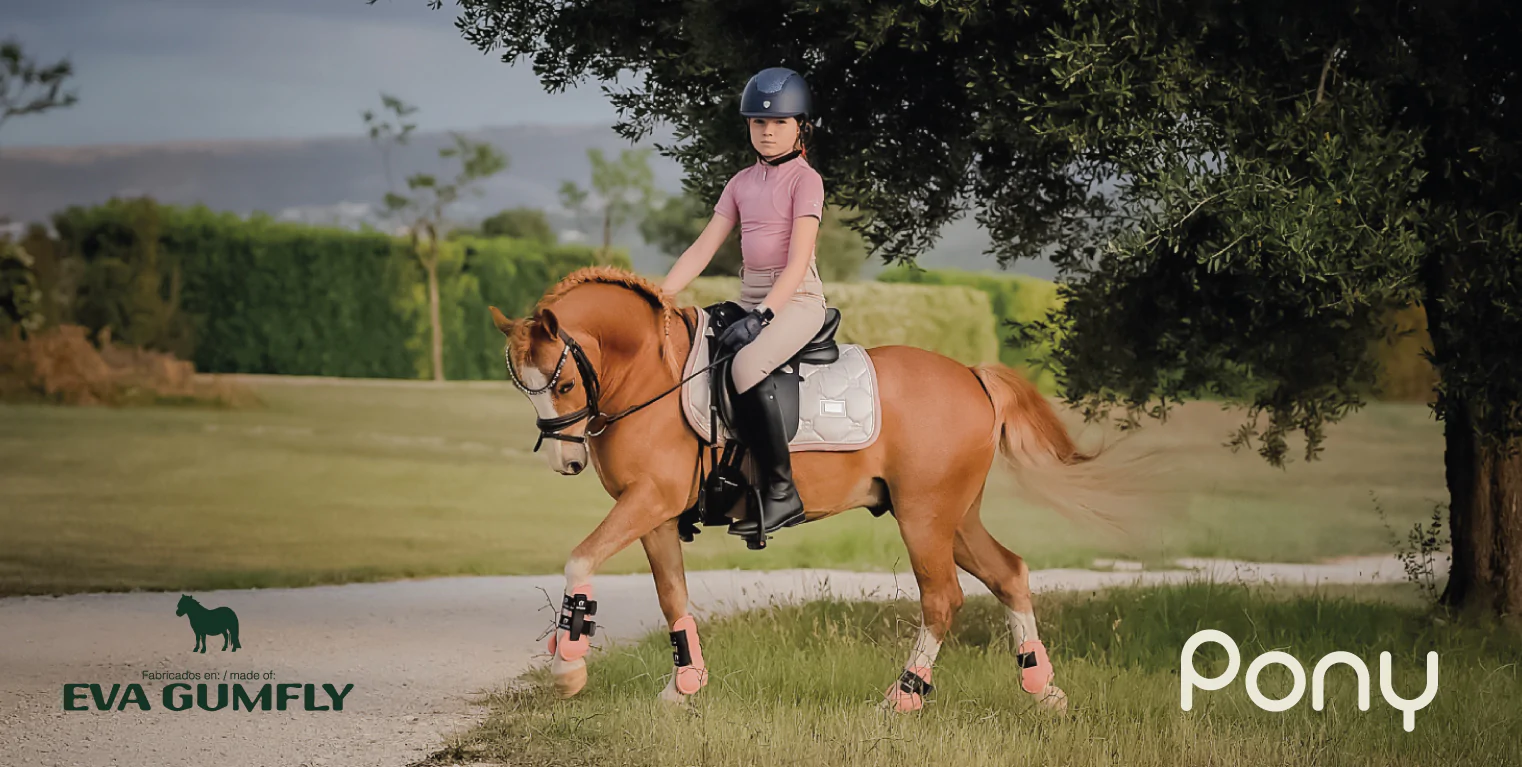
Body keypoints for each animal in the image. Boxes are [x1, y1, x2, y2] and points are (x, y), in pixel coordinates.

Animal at [492, 266, 1132, 711]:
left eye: (564, 383)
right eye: (524, 388)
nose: (567, 460)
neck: (653, 375)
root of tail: (972, 376)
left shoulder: (650, 500)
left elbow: (580, 558)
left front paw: (568, 665)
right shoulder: (653, 513)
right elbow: (672, 595)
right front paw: (685, 685)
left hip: (924, 516)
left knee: (943, 599)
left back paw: (904, 697)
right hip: (955, 516)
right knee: (1009, 574)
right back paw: (1042, 688)